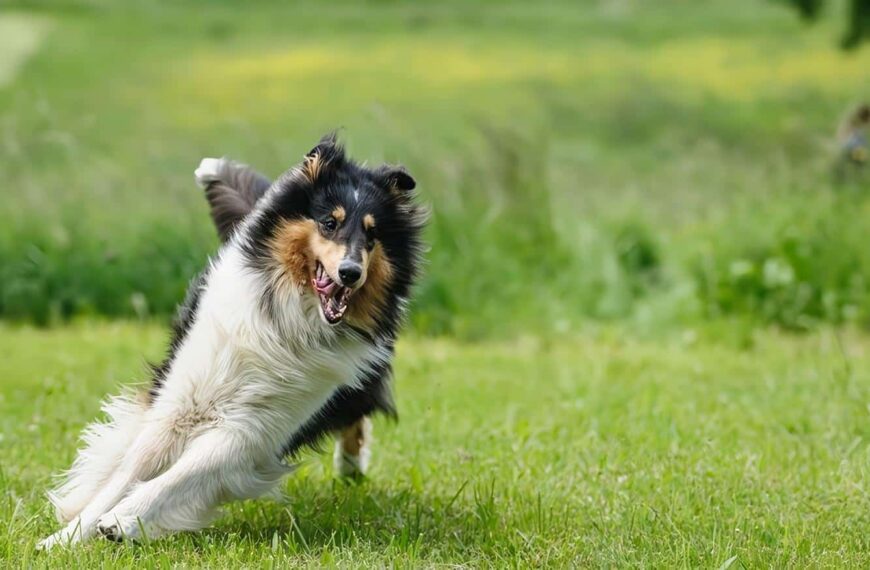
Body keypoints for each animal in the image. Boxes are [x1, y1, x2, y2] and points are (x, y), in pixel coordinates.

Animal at [39, 133, 428, 544]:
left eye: (372, 234)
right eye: (329, 222)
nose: (351, 273)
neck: (287, 322)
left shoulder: (252, 431)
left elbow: (180, 475)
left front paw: (120, 521)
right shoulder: (180, 404)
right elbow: (129, 471)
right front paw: (64, 539)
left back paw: (351, 466)